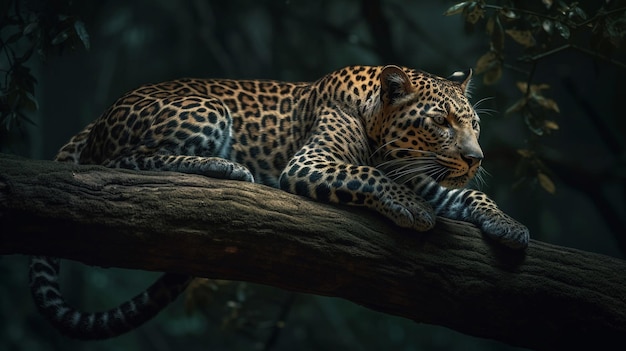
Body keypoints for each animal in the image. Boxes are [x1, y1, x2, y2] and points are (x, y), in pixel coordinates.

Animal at [29, 64, 528, 340]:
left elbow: (468, 193)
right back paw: (221, 166)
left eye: (474, 124)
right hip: (205, 109)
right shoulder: (309, 163)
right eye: (441, 122)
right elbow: (368, 175)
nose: (476, 157)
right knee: (125, 161)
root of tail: (98, 120)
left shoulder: (422, 176)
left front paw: (510, 226)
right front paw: (415, 210)